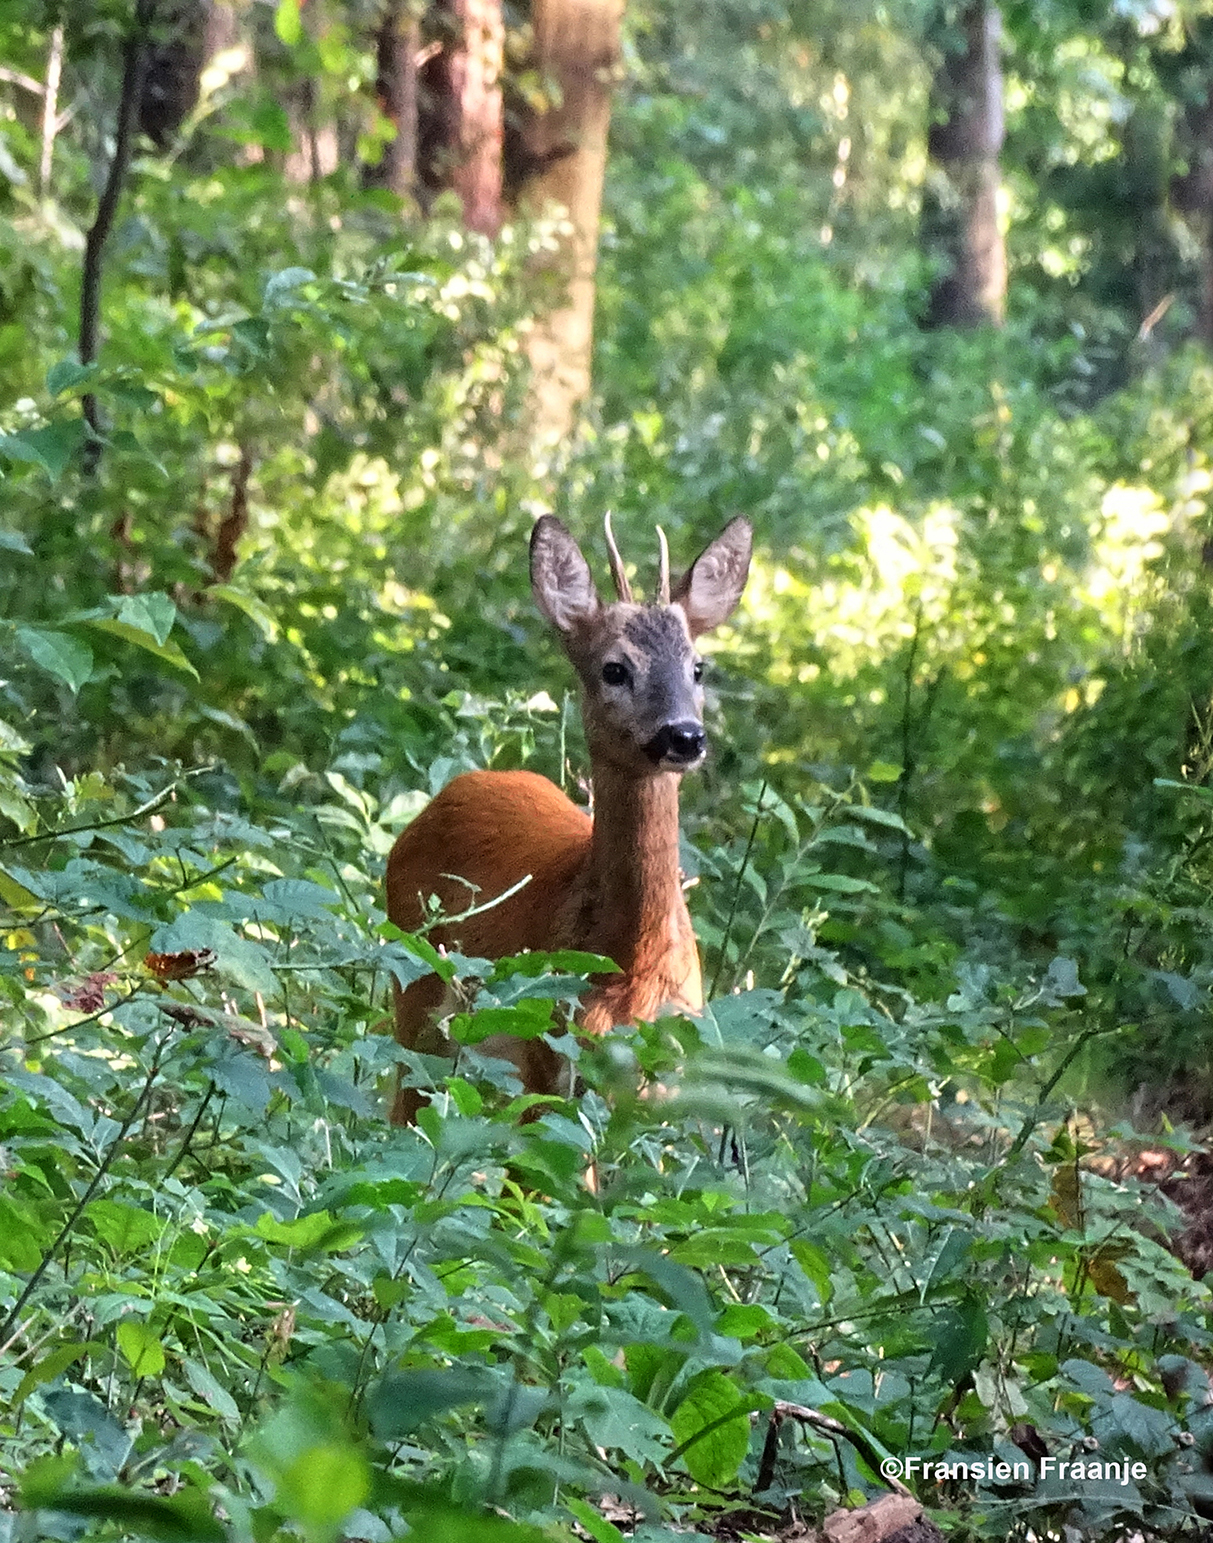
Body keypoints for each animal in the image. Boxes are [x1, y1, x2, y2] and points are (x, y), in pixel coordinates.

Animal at [385, 518, 746, 1123]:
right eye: (615, 669)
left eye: (698, 667)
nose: (685, 736)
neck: (628, 968)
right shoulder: (545, 1052)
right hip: (413, 979)